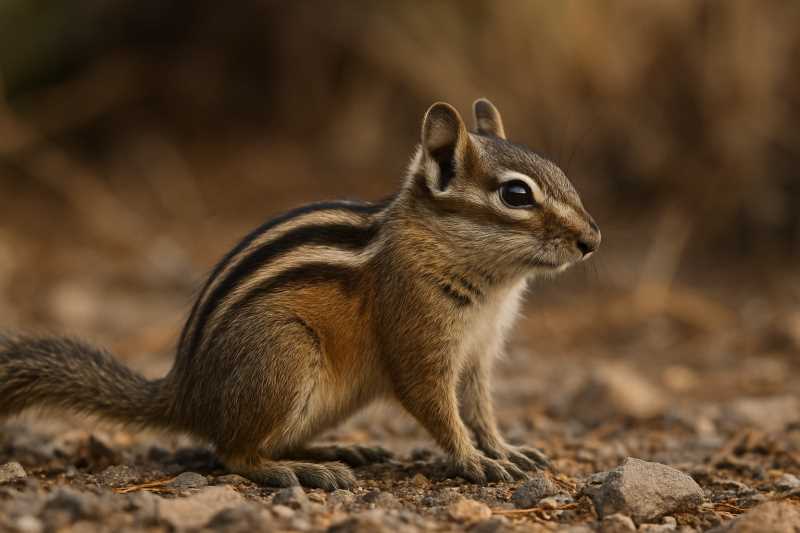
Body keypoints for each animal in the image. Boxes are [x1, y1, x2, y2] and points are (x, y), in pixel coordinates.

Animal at [0, 99, 600, 490]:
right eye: (516, 195)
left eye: (561, 174)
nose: (592, 240)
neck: (491, 282)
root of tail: (185, 392)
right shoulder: (419, 338)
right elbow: (436, 405)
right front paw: (474, 461)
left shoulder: (478, 354)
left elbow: (480, 407)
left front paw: (504, 449)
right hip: (282, 355)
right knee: (234, 453)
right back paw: (298, 470)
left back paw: (337, 449)